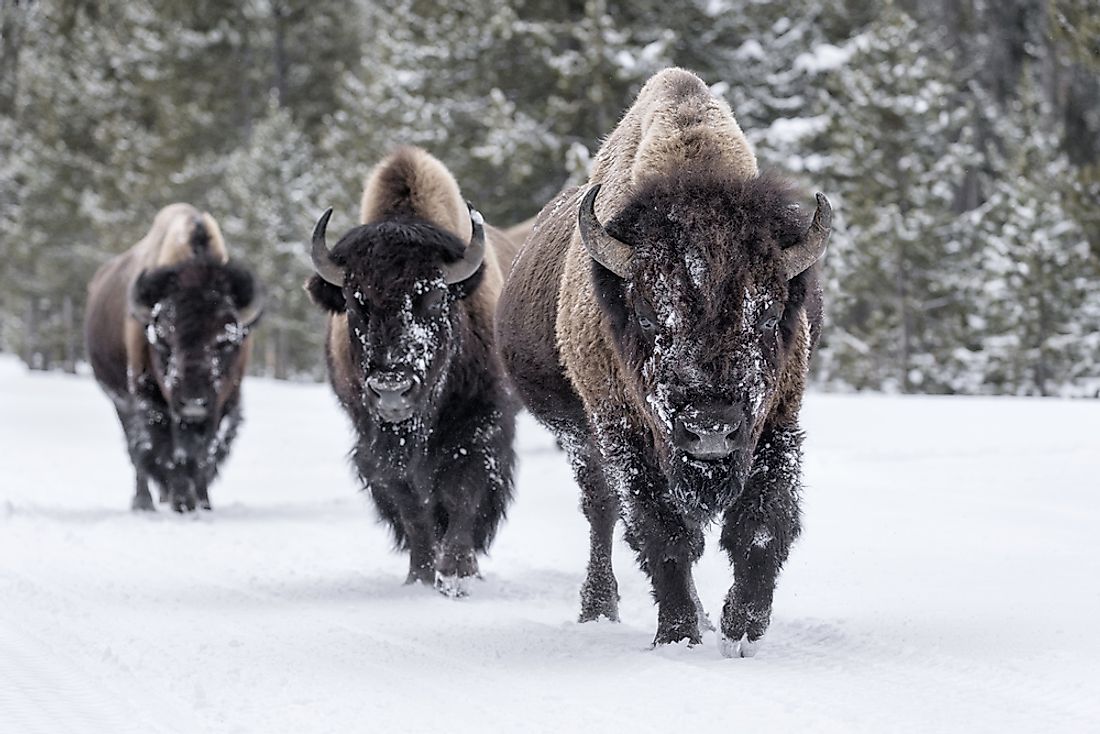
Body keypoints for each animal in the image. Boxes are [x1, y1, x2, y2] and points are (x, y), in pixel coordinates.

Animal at [85, 201, 264, 510]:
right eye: (163, 341)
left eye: (226, 342)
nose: (193, 402)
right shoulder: (151, 401)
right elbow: (167, 451)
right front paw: (182, 500)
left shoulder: (223, 404)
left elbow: (205, 453)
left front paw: (201, 502)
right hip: (120, 401)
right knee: (136, 450)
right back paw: (144, 502)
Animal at [305, 145, 519, 598]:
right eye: (355, 300)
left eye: (434, 296)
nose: (391, 390)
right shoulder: (373, 441)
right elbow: (411, 503)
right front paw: (420, 574)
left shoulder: (482, 426)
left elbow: (462, 492)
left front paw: (456, 573)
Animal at [495, 67, 827, 655]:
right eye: (650, 312)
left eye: (768, 313)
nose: (711, 427)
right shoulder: (625, 432)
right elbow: (662, 532)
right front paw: (678, 634)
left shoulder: (776, 423)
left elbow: (761, 527)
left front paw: (741, 630)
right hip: (578, 435)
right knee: (601, 510)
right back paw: (598, 608)